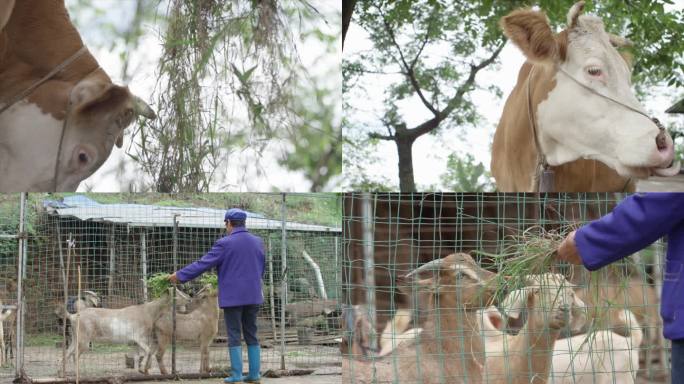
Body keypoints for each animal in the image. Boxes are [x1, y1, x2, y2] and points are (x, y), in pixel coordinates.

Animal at [56, 288, 188, 376]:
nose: (189, 298)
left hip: (75, 338)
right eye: (177, 293)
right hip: (84, 340)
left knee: (67, 352)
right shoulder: (140, 338)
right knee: (75, 355)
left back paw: (61, 373)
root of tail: (73, 316)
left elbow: (137, 356)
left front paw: (138, 371)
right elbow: (149, 351)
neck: (148, 311)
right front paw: (143, 369)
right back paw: (77, 373)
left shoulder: (135, 343)